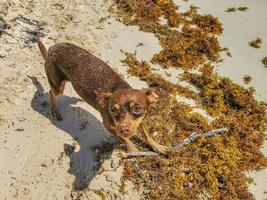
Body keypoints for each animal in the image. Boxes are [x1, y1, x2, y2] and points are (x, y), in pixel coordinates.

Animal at [37, 39, 169, 154]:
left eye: (137, 108)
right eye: (113, 110)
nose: (123, 130)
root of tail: (52, 49)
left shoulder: (141, 120)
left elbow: (147, 135)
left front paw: (157, 146)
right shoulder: (110, 127)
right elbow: (125, 140)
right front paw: (133, 150)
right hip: (58, 86)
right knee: (51, 93)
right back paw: (54, 110)